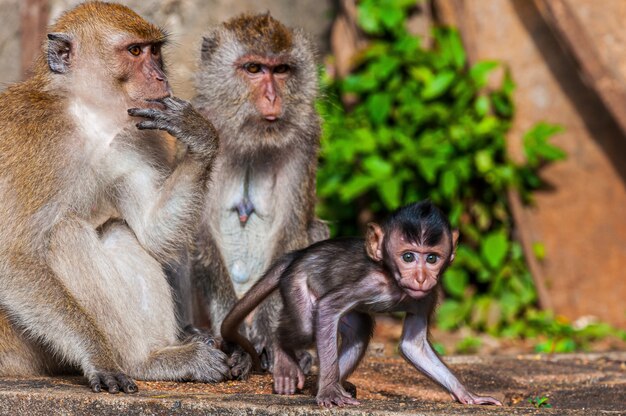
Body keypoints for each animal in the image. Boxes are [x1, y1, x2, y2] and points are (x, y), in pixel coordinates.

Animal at [0, 1, 229, 394]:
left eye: (155, 51)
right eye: (135, 51)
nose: (161, 78)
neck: (85, 115)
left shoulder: (135, 138)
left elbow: (152, 232)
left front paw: (199, 135)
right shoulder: (37, 143)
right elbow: (12, 258)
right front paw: (99, 357)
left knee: (119, 231)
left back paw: (160, 357)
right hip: (17, 345)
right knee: (63, 233)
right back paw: (139, 362)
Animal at [188, 14, 330, 376]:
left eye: (281, 70)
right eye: (253, 68)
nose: (272, 98)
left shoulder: (305, 138)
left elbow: (291, 231)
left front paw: (269, 339)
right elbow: (200, 233)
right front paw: (233, 342)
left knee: (316, 232)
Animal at [222, 201, 500, 406]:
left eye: (432, 258)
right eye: (408, 257)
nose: (421, 278)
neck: (394, 282)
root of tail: (299, 254)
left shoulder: (429, 296)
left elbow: (414, 346)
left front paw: (467, 395)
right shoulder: (369, 282)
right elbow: (327, 308)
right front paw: (328, 394)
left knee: (359, 328)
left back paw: (327, 384)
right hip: (296, 282)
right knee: (304, 327)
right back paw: (286, 357)